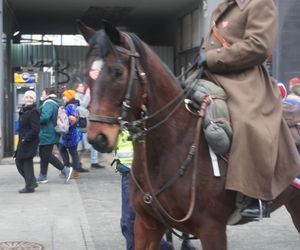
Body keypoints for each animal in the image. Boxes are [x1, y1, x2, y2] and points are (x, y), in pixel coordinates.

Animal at [78, 21, 300, 250]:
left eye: (117, 72)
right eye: (87, 73)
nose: (97, 137)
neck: (173, 146)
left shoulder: (212, 229)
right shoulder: (148, 224)